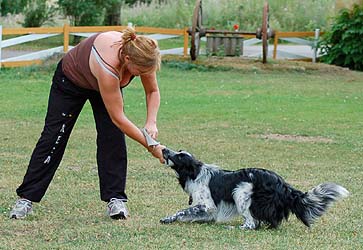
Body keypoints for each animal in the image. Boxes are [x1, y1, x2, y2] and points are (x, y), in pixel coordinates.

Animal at [162, 148, 350, 229]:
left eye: (180, 156)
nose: (164, 150)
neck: (196, 174)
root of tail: (282, 184)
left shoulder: (208, 205)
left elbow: (182, 211)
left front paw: (168, 218)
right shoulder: (209, 211)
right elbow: (188, 214)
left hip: (240, 192)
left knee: (251, 224)